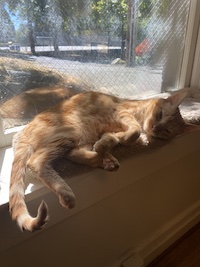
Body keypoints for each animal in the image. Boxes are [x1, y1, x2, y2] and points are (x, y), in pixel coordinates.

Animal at [9, 90, 197, 232]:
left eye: (166, 131)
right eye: (160, 114)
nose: (155, 127)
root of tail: (23, 133)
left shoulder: (108, 131)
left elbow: (115, 138)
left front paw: (112, 143)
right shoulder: (121, 113)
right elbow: (135, 130)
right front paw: (124, 139)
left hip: (80, 137)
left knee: (73, 154)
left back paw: (106, 160)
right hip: (70, 131)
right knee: (36, 162)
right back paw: (68, 191)